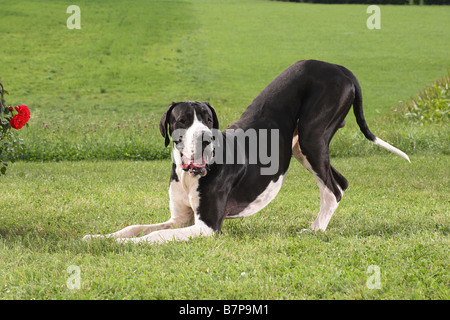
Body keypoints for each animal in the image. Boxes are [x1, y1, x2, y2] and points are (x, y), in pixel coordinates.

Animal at [82, 60, 410, 244]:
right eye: (183, 120)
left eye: (208, 119)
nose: (205, 138)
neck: (192, 173)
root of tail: (342, 69)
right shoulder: (181, 220)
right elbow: (135, 226)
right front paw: (100, 237)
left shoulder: (207, 227)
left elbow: (154, 235)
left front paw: (123, 246)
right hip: (302, 145)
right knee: (340, 182)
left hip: (312, 137)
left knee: (333, 188)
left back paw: (316, 229)